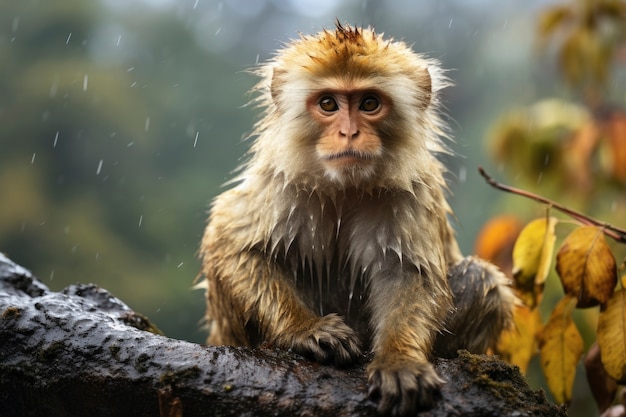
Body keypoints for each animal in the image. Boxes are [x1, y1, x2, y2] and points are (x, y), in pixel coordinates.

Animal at [197, 22, 516, 412]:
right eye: (328, 104)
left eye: (369, 104)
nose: (349, 132)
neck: (346, 187)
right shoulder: (279, 183)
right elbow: (232, 242)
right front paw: (306, 329)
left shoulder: (414, 192)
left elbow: (407, 272)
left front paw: (399, 361)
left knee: (480, 277)